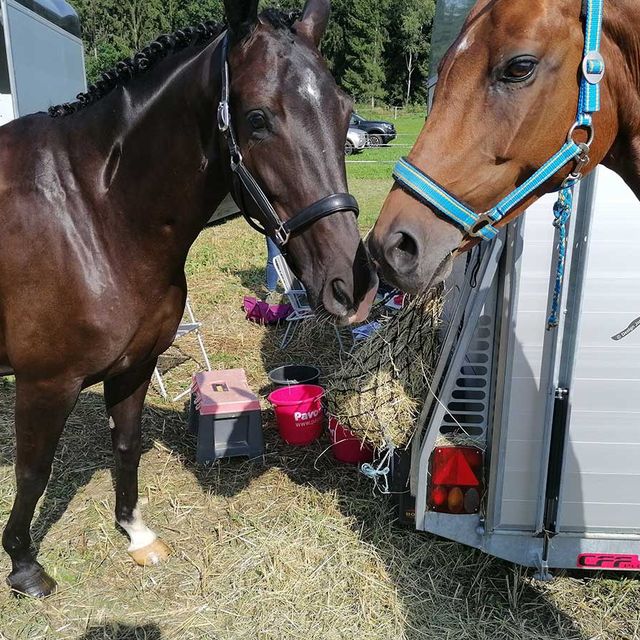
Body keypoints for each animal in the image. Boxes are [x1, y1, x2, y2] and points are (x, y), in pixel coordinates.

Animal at [0, 0, 377, 598]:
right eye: (257, 119)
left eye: (344, 114)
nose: (353, 284)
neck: (91, 213)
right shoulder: (45, 383)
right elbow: (34, 472)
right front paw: (23, 564)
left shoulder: (135, 364)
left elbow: (125, 444)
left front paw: (135, 534)